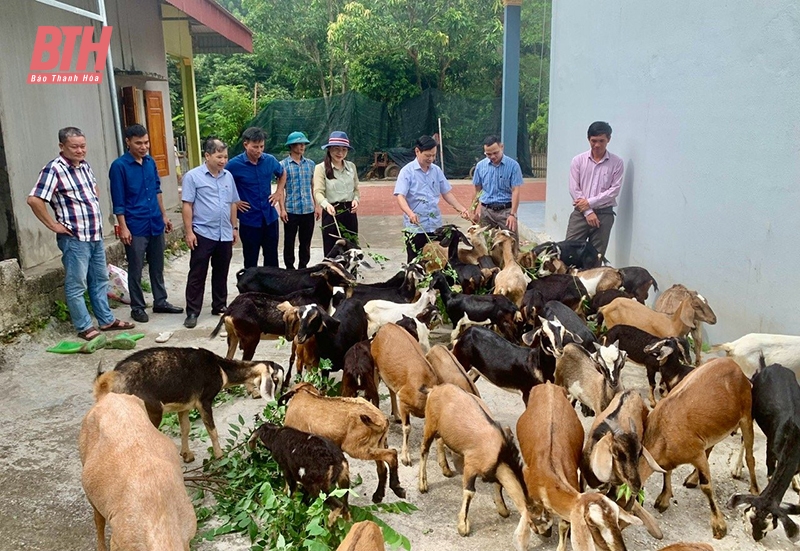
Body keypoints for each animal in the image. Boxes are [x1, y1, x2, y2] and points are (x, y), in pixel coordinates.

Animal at [372, 324, 440, 466]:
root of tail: (386, 326)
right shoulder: (403, 401)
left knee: (391, 388)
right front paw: (405, 458)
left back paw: (396, 416)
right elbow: (407, 428)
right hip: (375, 366)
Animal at [636, 358, 764, 540]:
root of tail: (736, 366)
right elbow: (667, 473)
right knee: (711, 447)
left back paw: (754, 489)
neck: (662, 432)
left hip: (746, 416)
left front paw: (719, 526)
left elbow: (707, 486)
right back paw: (692, 479)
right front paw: (663, 500)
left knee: (750, 456)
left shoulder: (696, 453)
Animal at [728, 362, 800, 544]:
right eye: (750, 517)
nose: (755, 537)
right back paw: (737, 469)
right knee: (745, 439)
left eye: (768, 525)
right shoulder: (771, 451)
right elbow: (770, 473)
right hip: (750, 408)